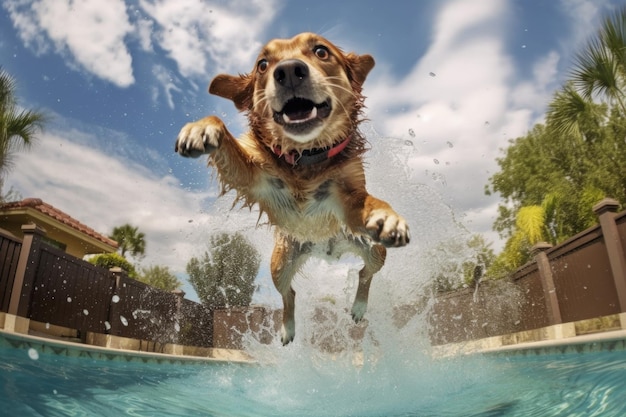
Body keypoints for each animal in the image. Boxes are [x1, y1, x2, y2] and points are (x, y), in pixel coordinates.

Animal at [174, 33, 410, 344]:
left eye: (321, 51)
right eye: (262, 64)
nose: (287, 71)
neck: (305, 155)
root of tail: (326, 250)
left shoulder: (348, 197)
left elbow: (368, 202)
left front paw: (386, 215)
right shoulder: (252, 175)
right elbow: (220, 127)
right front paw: (201, 128)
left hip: (374, 250)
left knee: (365, 274)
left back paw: (358, 306)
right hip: (280, 263)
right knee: (290, 293)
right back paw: (288, 327)